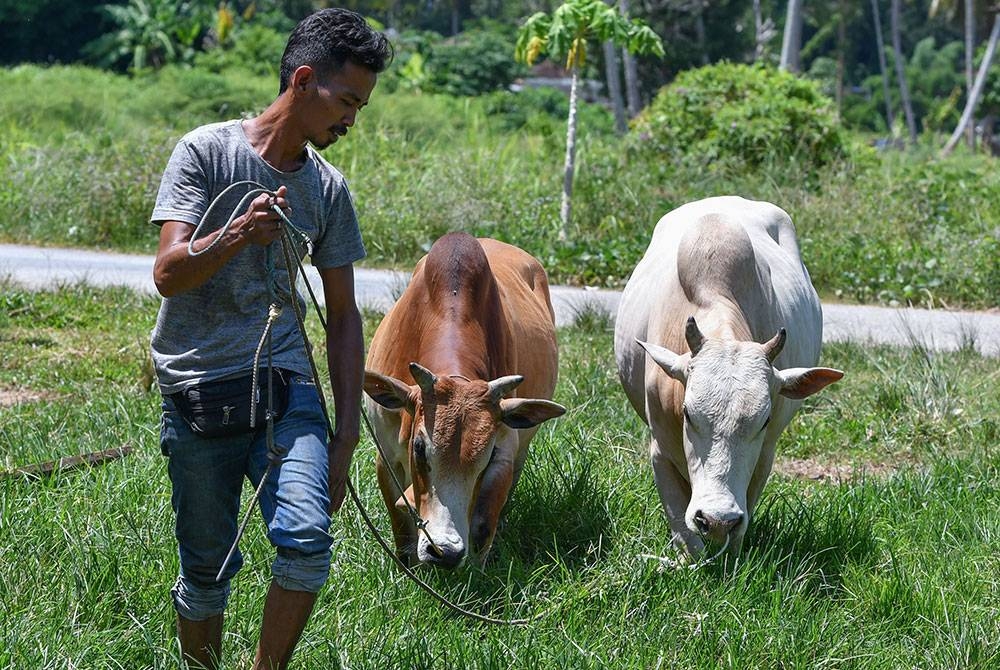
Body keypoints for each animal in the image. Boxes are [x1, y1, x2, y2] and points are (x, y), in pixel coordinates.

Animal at [362, 234, 568, 568]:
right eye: (419, 447)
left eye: (486, 454)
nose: (444, 551)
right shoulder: (387, 453)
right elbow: (401, 524)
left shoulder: (504, 452)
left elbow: (483, 524)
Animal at [616, 197, 844, 560]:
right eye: (687, 414)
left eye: (764, 421)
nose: (716, 518)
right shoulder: (659, 451)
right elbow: (685, 534)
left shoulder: (764, 457)